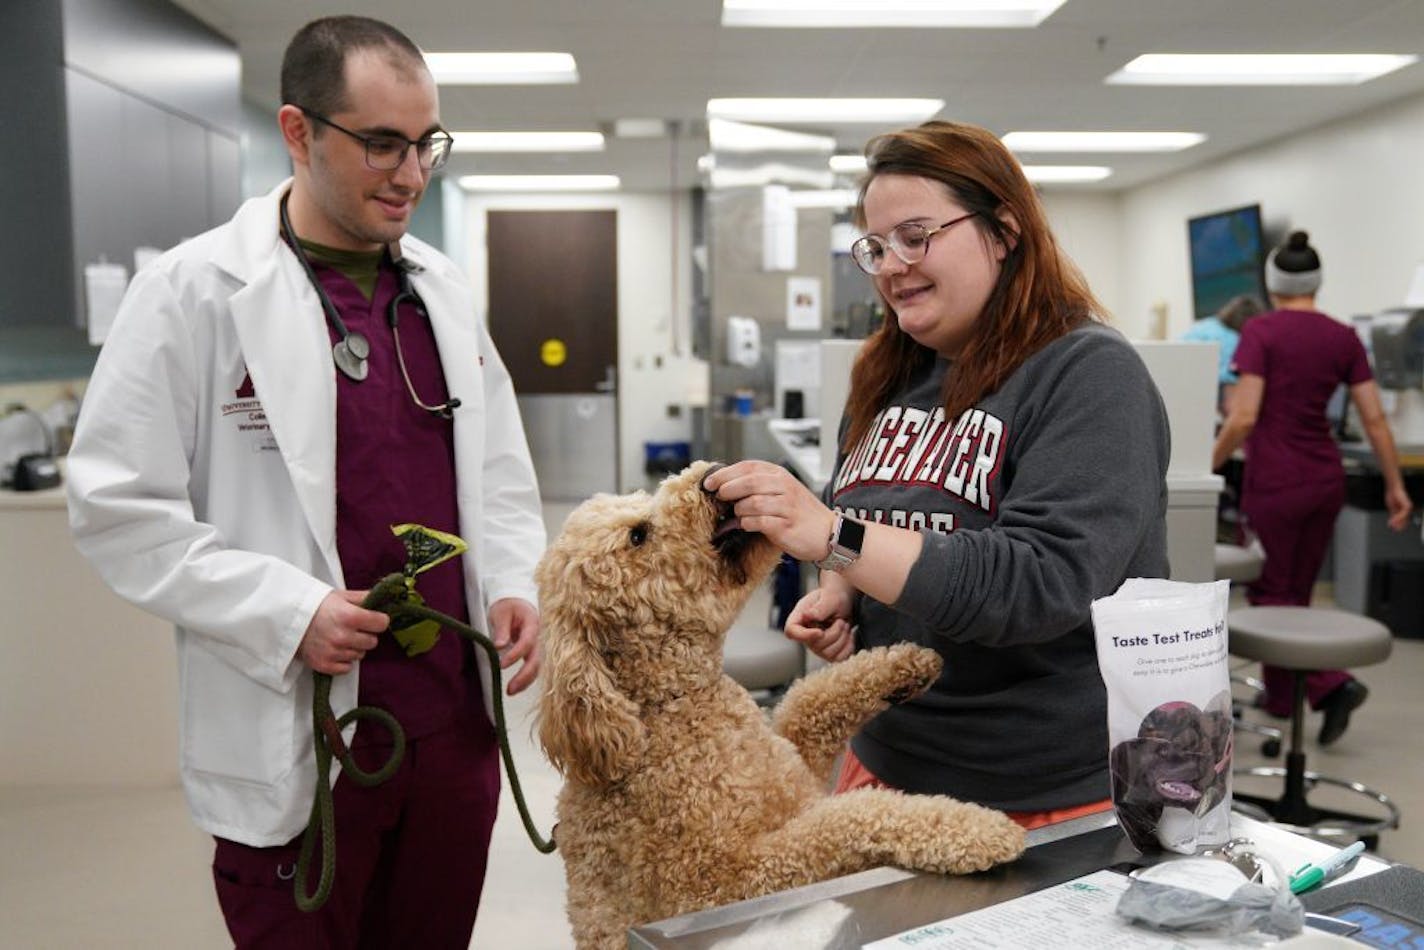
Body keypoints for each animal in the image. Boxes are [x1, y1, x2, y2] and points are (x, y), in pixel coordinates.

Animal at [535, 461, 1025, 950]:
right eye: (638, 535)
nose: (711, 474)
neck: (677, 703)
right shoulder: (726, 881)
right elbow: (844, 819)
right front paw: (974, 829)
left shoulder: (796, 766)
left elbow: (809, 699)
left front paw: (905, 664)